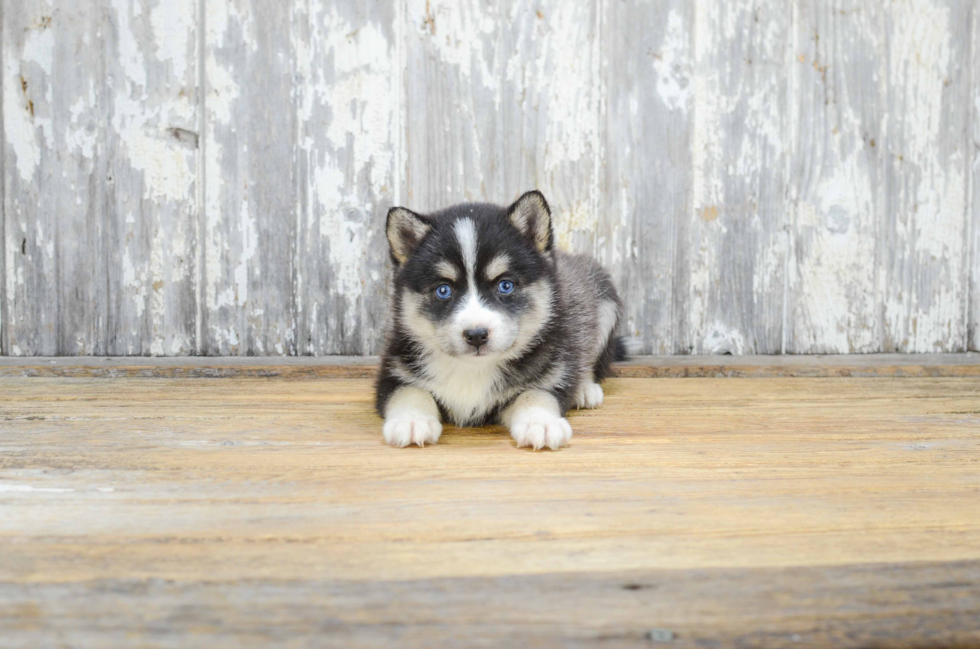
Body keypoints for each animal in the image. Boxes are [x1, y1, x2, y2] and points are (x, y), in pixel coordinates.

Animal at [376, 190, 628, 448]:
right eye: (443, 290)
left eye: (505, 285)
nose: (476, 335)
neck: (473, 369)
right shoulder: (395, 372)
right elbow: (411, 392)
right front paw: (411, 421)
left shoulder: (550, 372)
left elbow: (534, 394)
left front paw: (541, 423)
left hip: (605, 304)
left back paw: (584, 389)